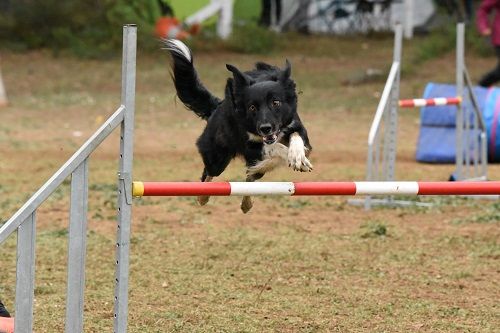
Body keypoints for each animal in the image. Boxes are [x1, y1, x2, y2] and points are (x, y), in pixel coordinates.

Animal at [164, 39, 312, 213]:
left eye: (276, 102)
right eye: (252, 107)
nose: (265, 128)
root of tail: (217, 107)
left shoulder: (296, 126)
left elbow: (297, 139)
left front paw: (298, 157)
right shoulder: (251, 147)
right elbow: (275, 147)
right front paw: (291, 155)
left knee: (250, 177)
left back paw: (246, 203)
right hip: (217, 158)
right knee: (209, 174)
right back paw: (203, 196)